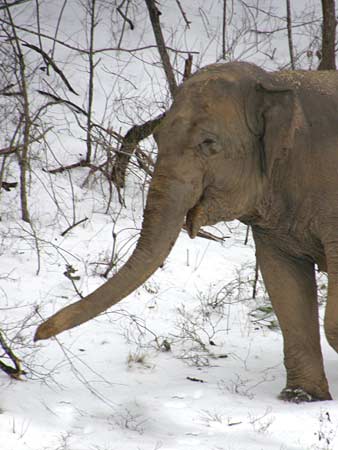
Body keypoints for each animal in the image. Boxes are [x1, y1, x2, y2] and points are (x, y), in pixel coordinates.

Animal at [33, 61, 338, 402]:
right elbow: (285, 289)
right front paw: (301, 398)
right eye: (158, 137)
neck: (276, 82)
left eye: (208, 144)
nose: (38, 333)